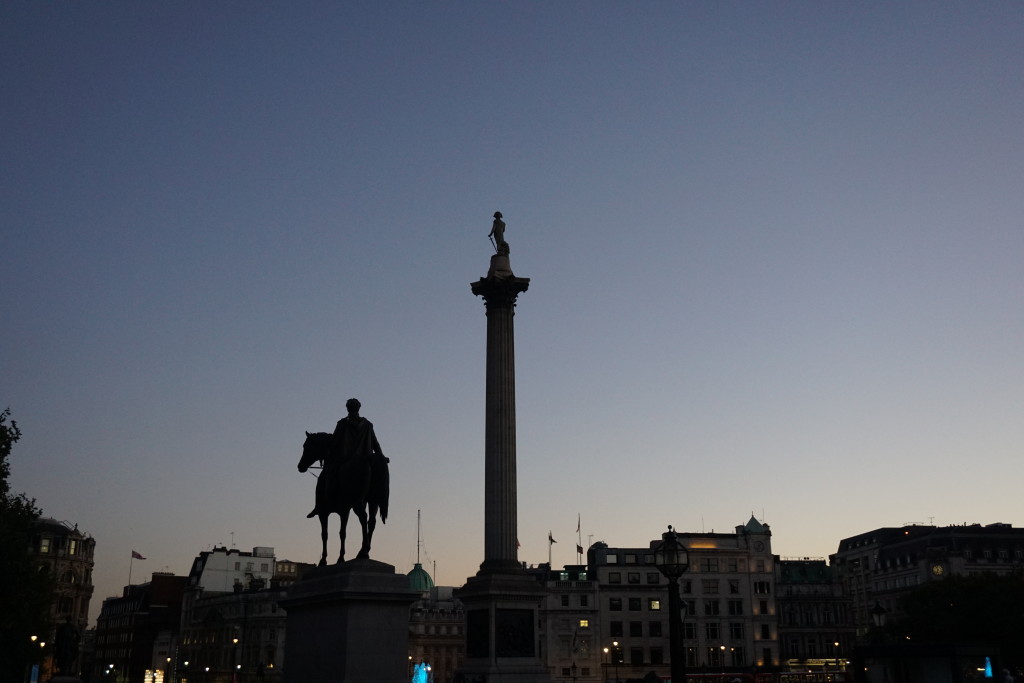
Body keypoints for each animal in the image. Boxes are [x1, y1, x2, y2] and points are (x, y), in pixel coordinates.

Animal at [299, 432, 391, 565]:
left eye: (306, 446)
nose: (300, 466)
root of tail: (368, 459)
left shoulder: (323, 512)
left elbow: (325, 534)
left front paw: (323, 560)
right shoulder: (344, 511)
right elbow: (342, 533)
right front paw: (341, 558)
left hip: (357, 502)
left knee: (363, 518)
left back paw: (363, 552)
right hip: (373, 501)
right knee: (371, 521)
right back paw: (365, 549)